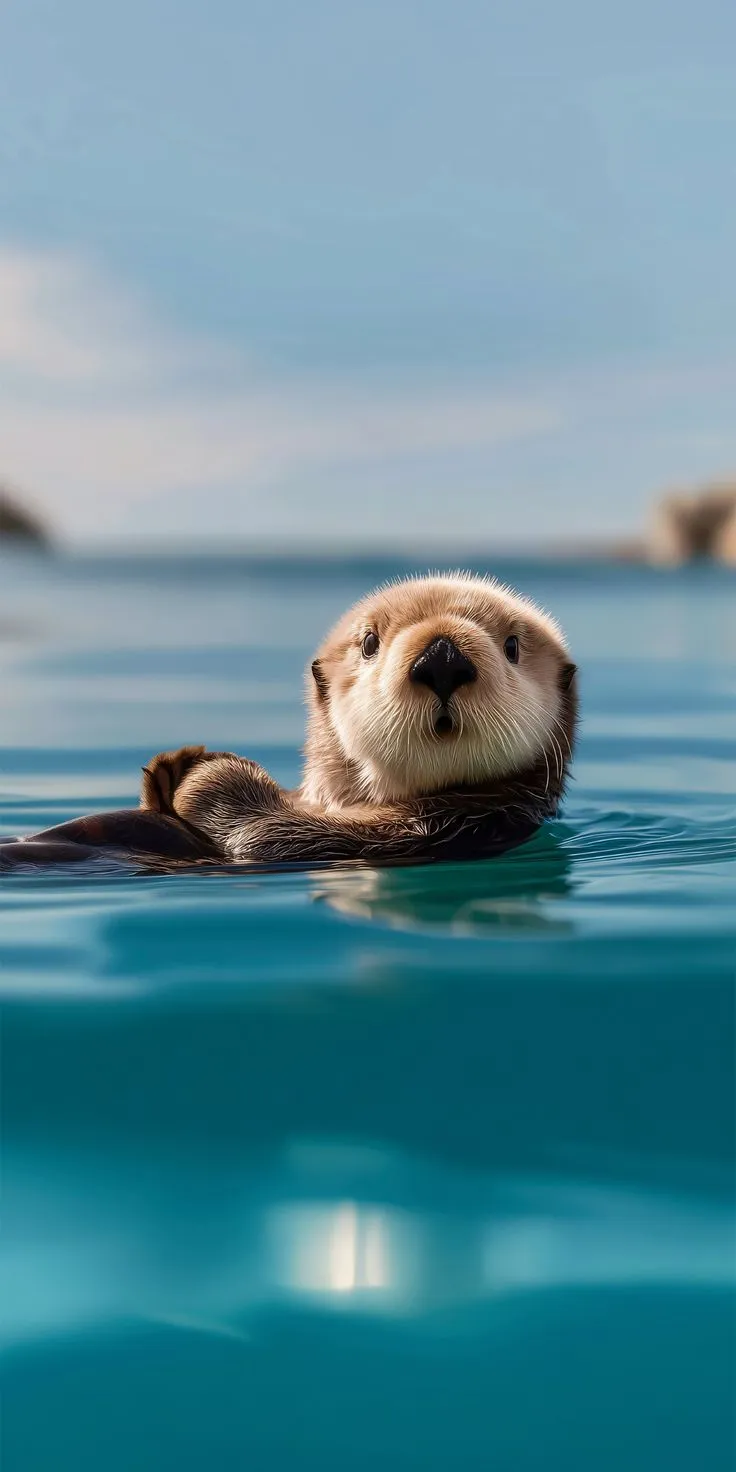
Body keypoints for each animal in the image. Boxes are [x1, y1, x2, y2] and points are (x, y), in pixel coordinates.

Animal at [0, 573, 577, 869]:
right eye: (370, 642)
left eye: (512, 646)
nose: (442, 659)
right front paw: (173, 766)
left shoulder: (428, 830)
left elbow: (258, 831)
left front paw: (203, 774)